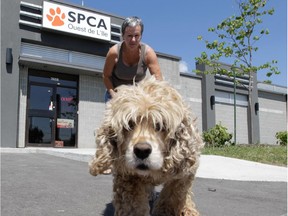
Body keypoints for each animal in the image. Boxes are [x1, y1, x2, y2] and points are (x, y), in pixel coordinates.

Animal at [89, 75, 204, 214]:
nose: (142, 151)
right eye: (129, 124)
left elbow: (174, 195)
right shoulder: (127, 176)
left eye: (160, 125)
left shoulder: (184, 173)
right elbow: (133, 206)